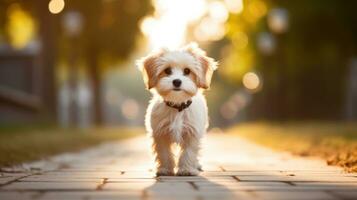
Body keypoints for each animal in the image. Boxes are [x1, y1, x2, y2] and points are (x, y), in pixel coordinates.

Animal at [137, 43, 217, 176]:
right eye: (167, 70)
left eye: (187, 71)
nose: (177, 81)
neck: (178, 106)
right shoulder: (160, 133)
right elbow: (164, 153)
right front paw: (164, 169)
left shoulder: (192, 133)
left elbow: (189, 152)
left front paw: (186, 169)